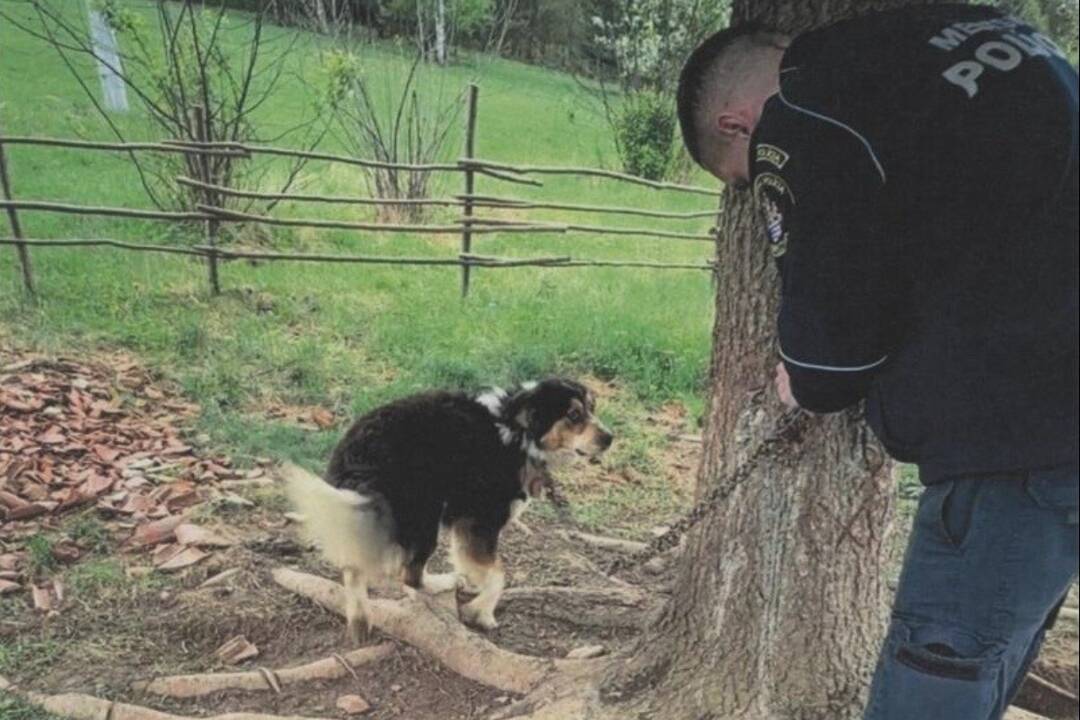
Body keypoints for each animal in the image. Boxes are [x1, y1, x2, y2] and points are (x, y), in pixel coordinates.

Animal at [282, 377, 613, 634]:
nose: (610, 438)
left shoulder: (465, 522)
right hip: (425, 515)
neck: (520, 433)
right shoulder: (480, 522)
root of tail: (358, 459)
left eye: (592, 409)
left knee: (357, 567)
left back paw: (360, 618)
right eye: (573, 415)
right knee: (410, 575)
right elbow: (498, 575)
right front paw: (482, 613)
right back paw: (438, 583)